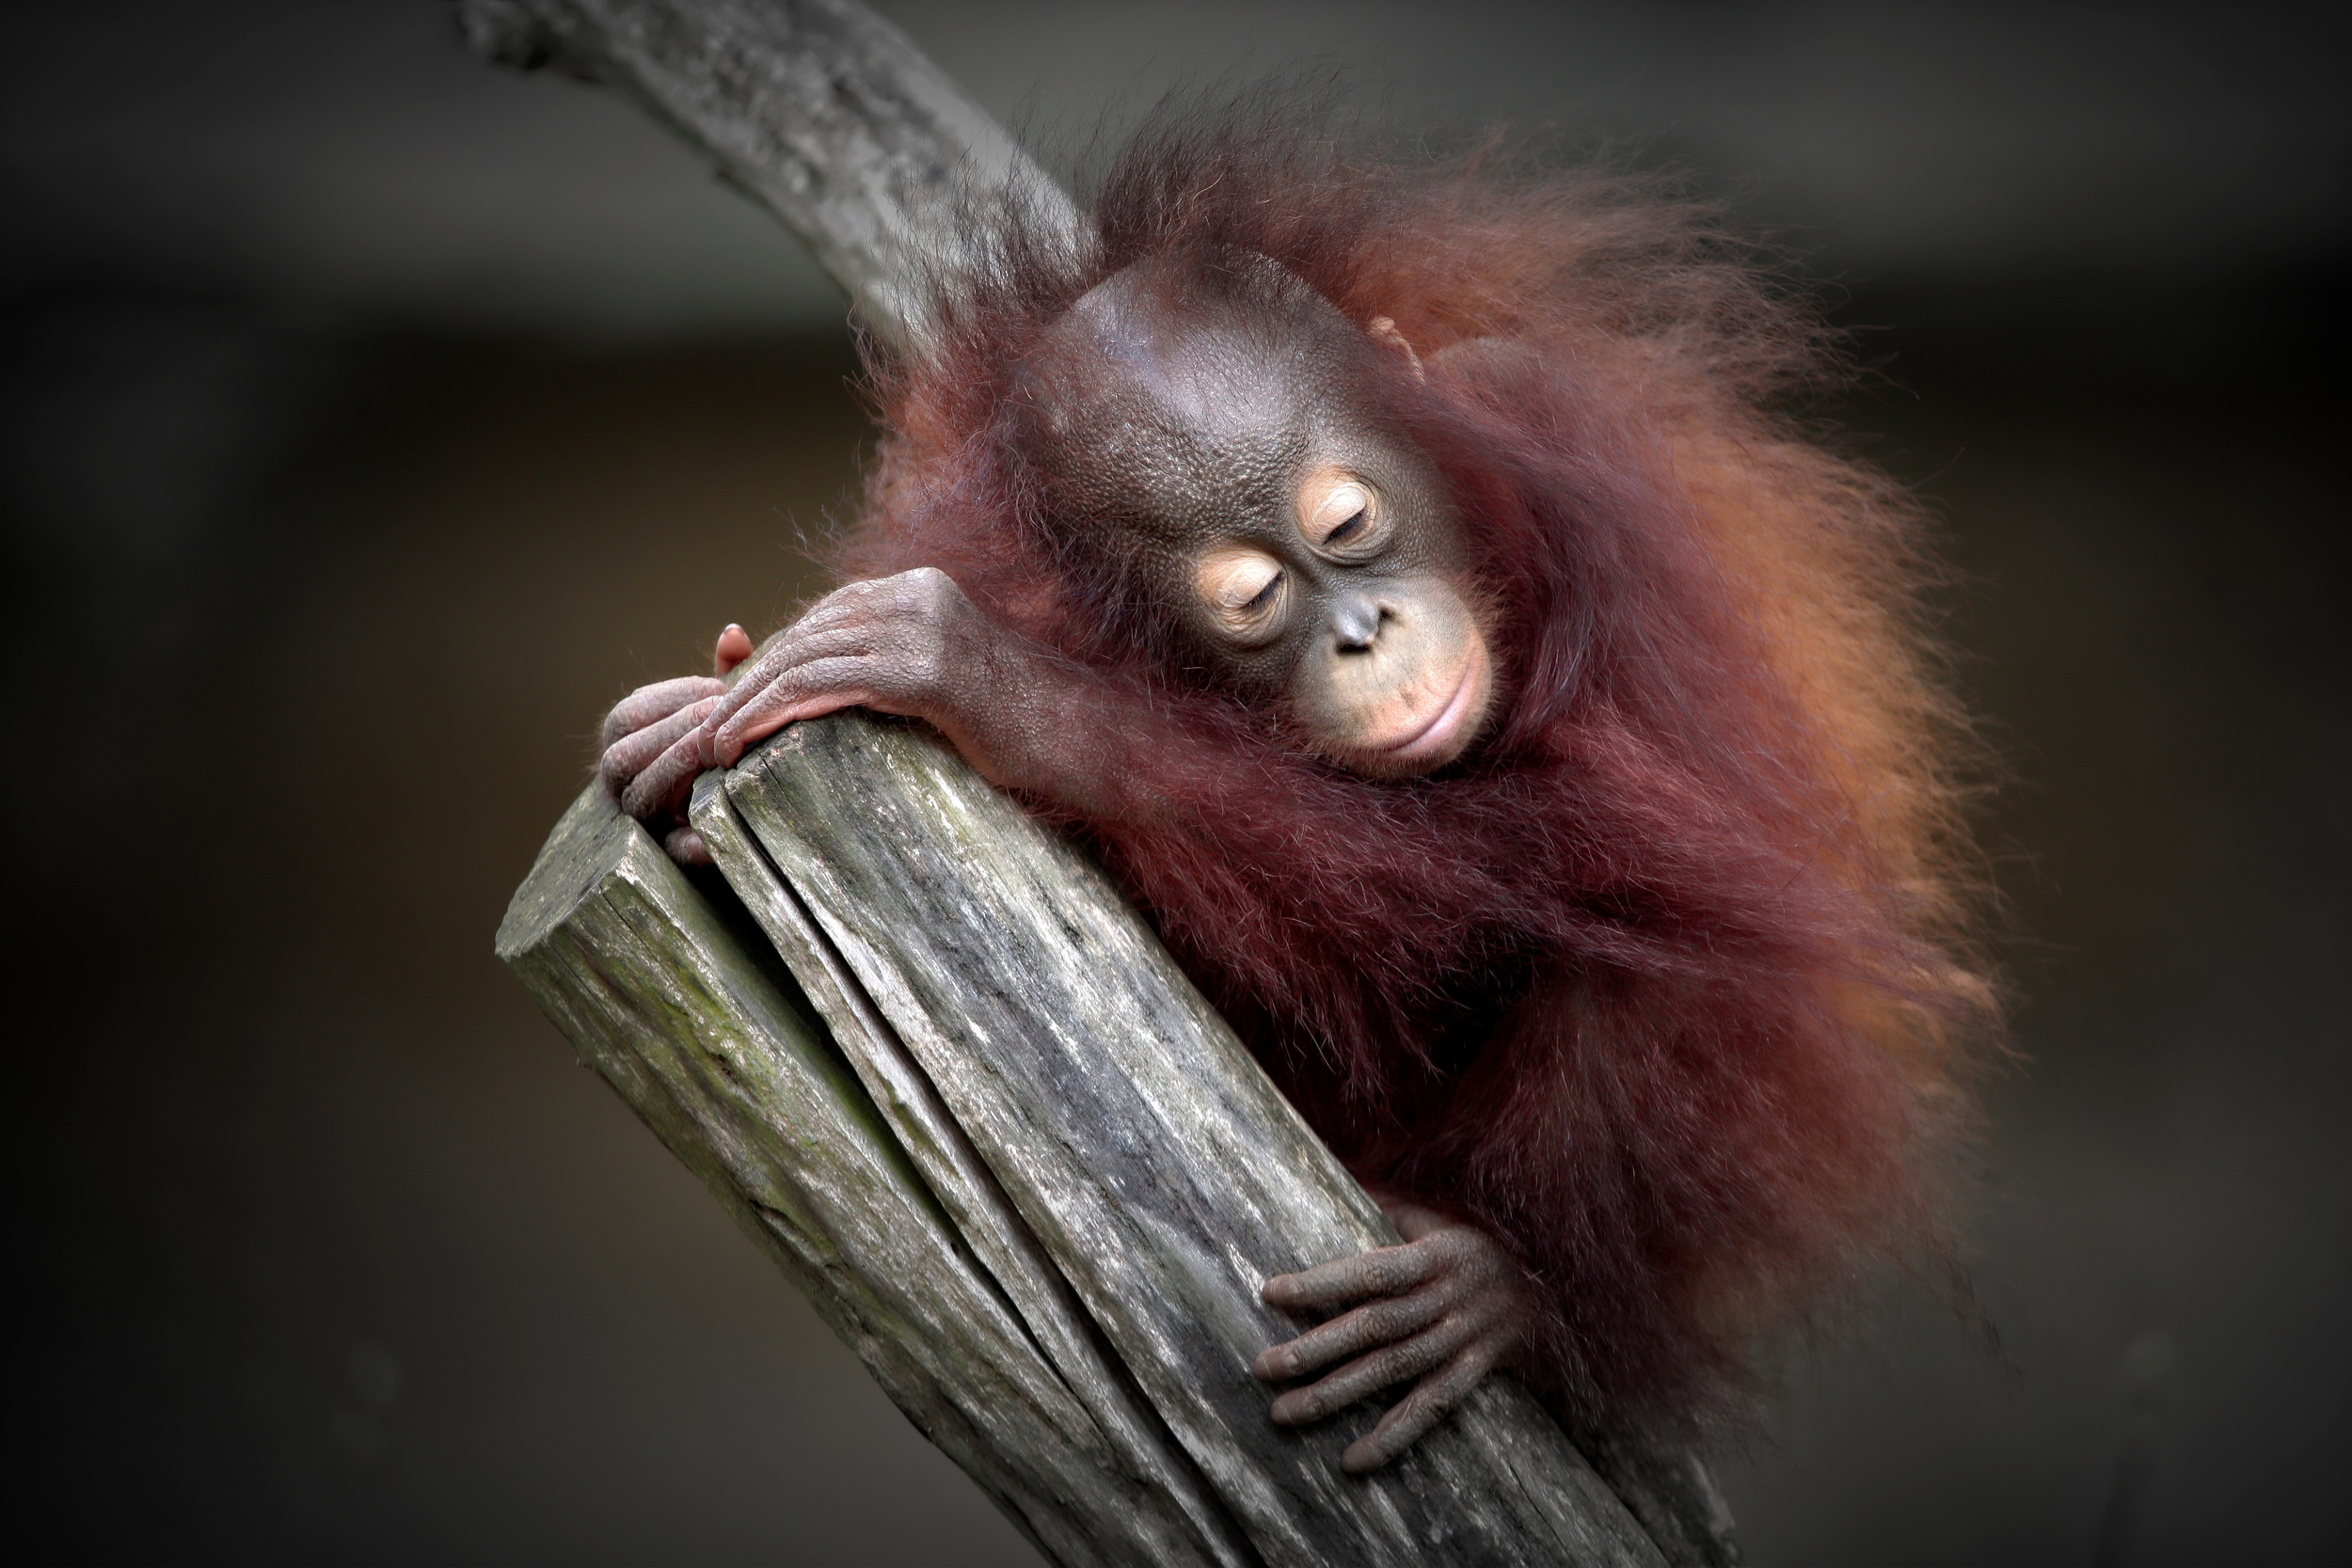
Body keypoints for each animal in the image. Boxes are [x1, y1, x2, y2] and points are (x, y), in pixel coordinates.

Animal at [596, 118, 1994, 1484]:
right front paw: (685, 740)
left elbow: (1660, 839)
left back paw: (1507, 1290)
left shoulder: (1576, 451)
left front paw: (1000, 690)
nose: (1367, 632)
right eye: (1256, 600)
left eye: (1350, 522)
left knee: (1663, 928)